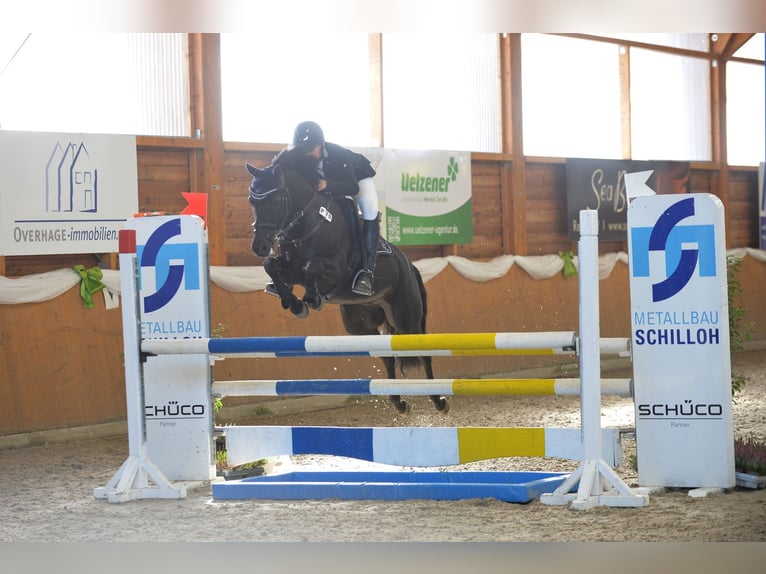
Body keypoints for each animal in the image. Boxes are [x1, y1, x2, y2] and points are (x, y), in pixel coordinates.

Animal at [246, 151, 450, 416]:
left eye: (273, 201)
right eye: (252, 201)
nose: (258, 247)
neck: (310, 222)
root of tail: (409, 264)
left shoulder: (336, 272)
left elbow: (312, 267)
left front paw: (310, 299)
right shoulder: (292, 269)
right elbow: (271, 265)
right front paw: (294, 303)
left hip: (406, 316)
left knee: (422, 351)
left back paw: (439, 401)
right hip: (360, 324)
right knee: (386, 355)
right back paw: (399, 403)